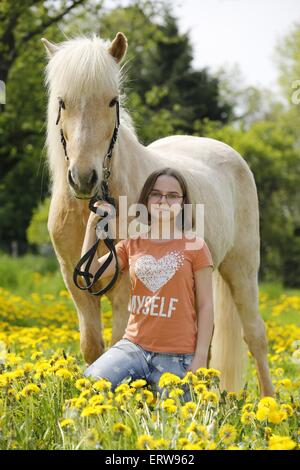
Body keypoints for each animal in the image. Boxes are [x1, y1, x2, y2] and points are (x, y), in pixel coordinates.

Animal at [41, 32, 274, 396]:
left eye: (112, 101)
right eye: (62, 102)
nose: (84, 178)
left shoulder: (124, 286)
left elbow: (118, 340)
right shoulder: (75, 280)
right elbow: (93, 348)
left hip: (243, 267)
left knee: (255, 335)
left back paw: (269, 402)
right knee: (204, 343)